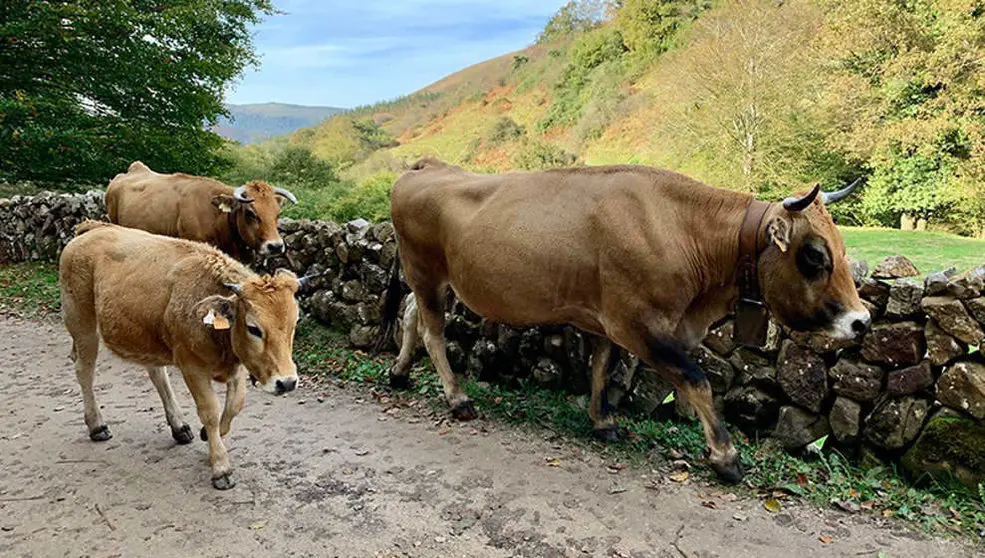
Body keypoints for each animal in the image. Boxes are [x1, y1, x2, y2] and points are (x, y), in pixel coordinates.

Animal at [59, 220, 308, 489]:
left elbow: (235, 405)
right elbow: (209, 411)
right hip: (82, 325)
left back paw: (179, 426)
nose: (287, 382)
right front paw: (220, 467)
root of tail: (93, 228)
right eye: (253, 328)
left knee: (157, 374)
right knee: (84, 371)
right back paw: (97, 425)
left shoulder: (237, 366)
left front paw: (208, 435)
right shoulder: (192, 367)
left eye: (295, 322)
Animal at [375, 158, 870, 483]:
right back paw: (457, 398)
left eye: (844, 248)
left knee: (412, 314)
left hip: (435, 280)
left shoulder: (608, 320)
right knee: (432, 330)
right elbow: (697, 380)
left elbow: (602, 369)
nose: (861, 321)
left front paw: (603, 422)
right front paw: (726, 457)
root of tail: (427, 165)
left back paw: (399, 373)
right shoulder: (640, 324)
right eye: (814, 255)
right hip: (425, 270)